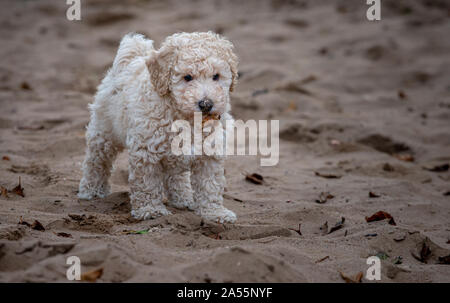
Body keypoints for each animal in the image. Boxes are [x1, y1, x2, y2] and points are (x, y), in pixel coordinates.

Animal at [77, 32, 239, 224]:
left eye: (216, 76)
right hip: (103, 132)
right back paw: (91, 190)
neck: (186, 118)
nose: (206, 104)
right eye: (187, 77)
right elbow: (147, 183)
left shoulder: (209, 154)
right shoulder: (146, 152)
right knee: (96, 161)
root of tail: (132, 58)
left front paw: (215, 213)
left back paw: (183, 198)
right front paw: (150, 210)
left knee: (176, 175)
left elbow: (210, 185)